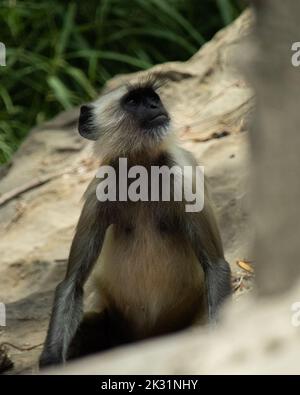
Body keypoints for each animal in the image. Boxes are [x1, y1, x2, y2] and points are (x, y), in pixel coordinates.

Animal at [39, 75, 232, 368]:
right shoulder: (99, 190)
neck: (143, 171)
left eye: (152, 98)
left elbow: (216, 266)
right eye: (133, 101)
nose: (154, 106)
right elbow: (72, 283)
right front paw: (50, 360)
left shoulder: (183, 180)